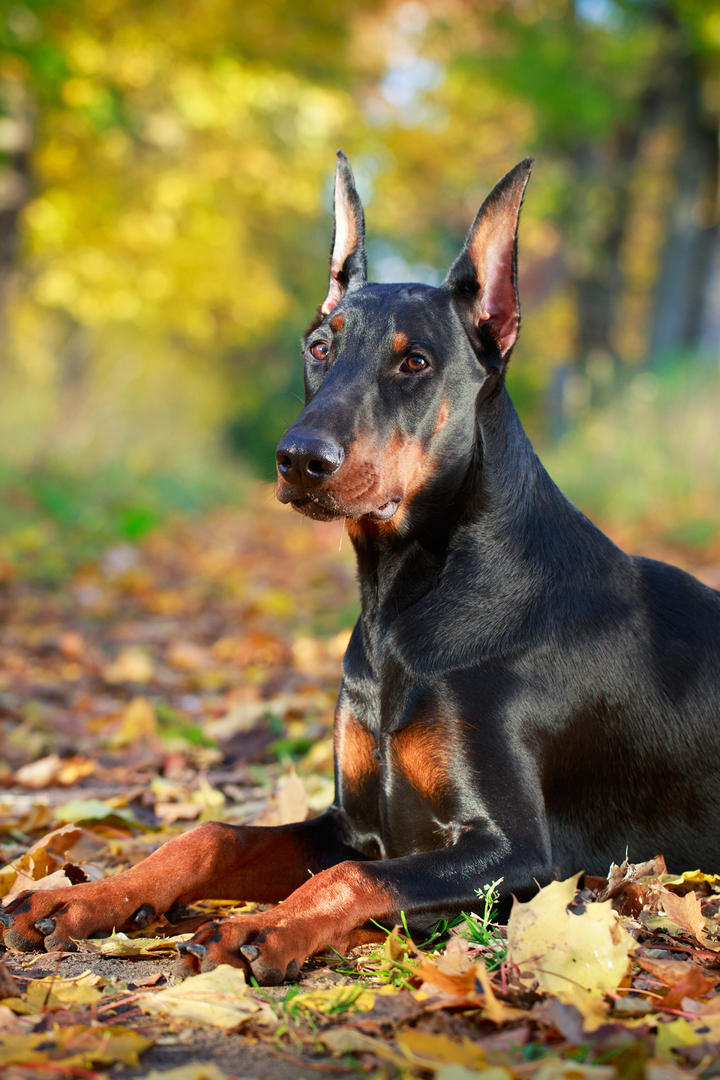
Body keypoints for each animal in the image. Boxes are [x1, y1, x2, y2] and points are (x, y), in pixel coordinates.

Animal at [1, 152, 720, 989]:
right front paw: (85, 897)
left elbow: (350, 878)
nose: (299, 459)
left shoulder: (519, 854)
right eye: (320, 345)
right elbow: (211, 834)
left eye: (415, 361)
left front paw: (265, 928)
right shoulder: (352, 821)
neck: (404, 602)